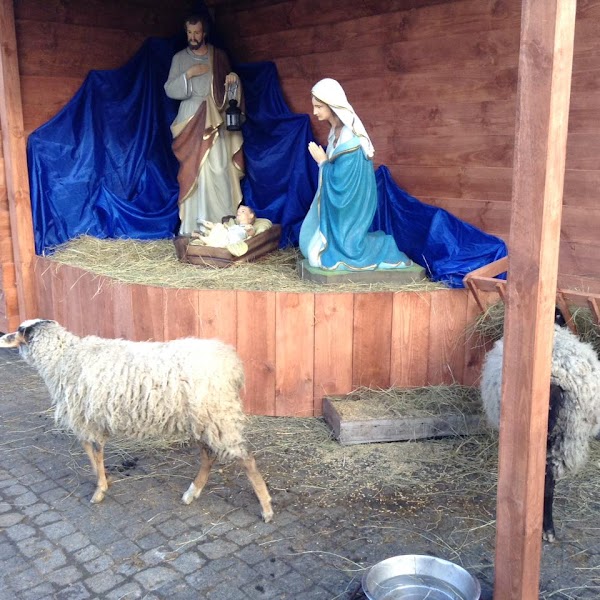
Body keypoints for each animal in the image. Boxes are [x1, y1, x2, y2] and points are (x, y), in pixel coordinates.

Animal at [0, 319, 273, 522]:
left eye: (19, 331)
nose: (2, 338)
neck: (63, 358)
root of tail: (231, 365)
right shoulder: (91, 420)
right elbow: (94, 455)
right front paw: (105, 480)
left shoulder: (86, 420)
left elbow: (93, 453)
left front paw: (100, 490)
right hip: (203, 420)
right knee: (209, 456)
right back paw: (192, 493)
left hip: (217, 416)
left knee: (246, 459)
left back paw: (266, 508)